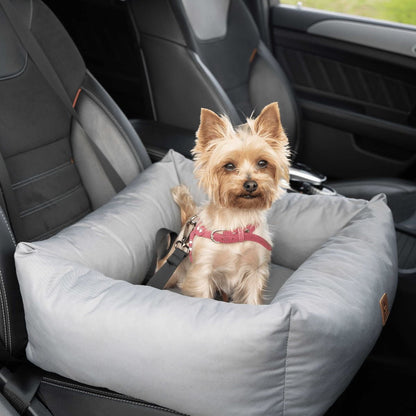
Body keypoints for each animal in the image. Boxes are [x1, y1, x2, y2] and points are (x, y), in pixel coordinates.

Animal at [163, 102, 290, 304]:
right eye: (229, 166)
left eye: (262, 163)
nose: (251, 184)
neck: (237, 218)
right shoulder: (202, 272)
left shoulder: (255, 271)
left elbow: (252, 299)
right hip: (171, 272)